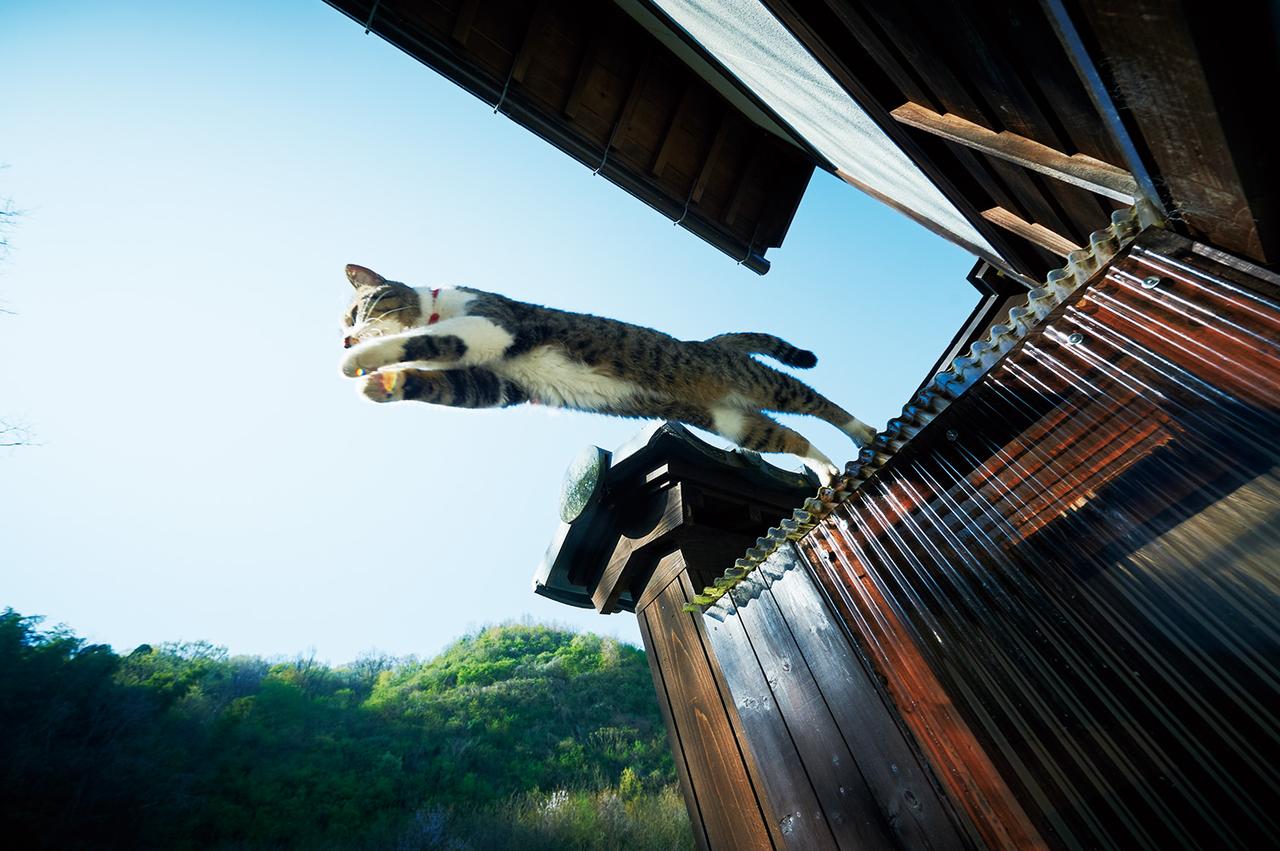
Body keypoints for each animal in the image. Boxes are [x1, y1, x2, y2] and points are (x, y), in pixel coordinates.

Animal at [337, 262, 880, 481]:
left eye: (358, 310)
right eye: (346, 320)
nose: (346, 337)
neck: (437, 307)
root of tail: (709, 343)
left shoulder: (493, 323)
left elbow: (425, 338)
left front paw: (361, 360)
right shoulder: (496, 382)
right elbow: (445, 384)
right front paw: (385, 385)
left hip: (762, 383)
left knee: (818, 403)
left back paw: (864, 434)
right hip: (733, 422)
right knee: (789, 437)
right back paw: (825, 469)